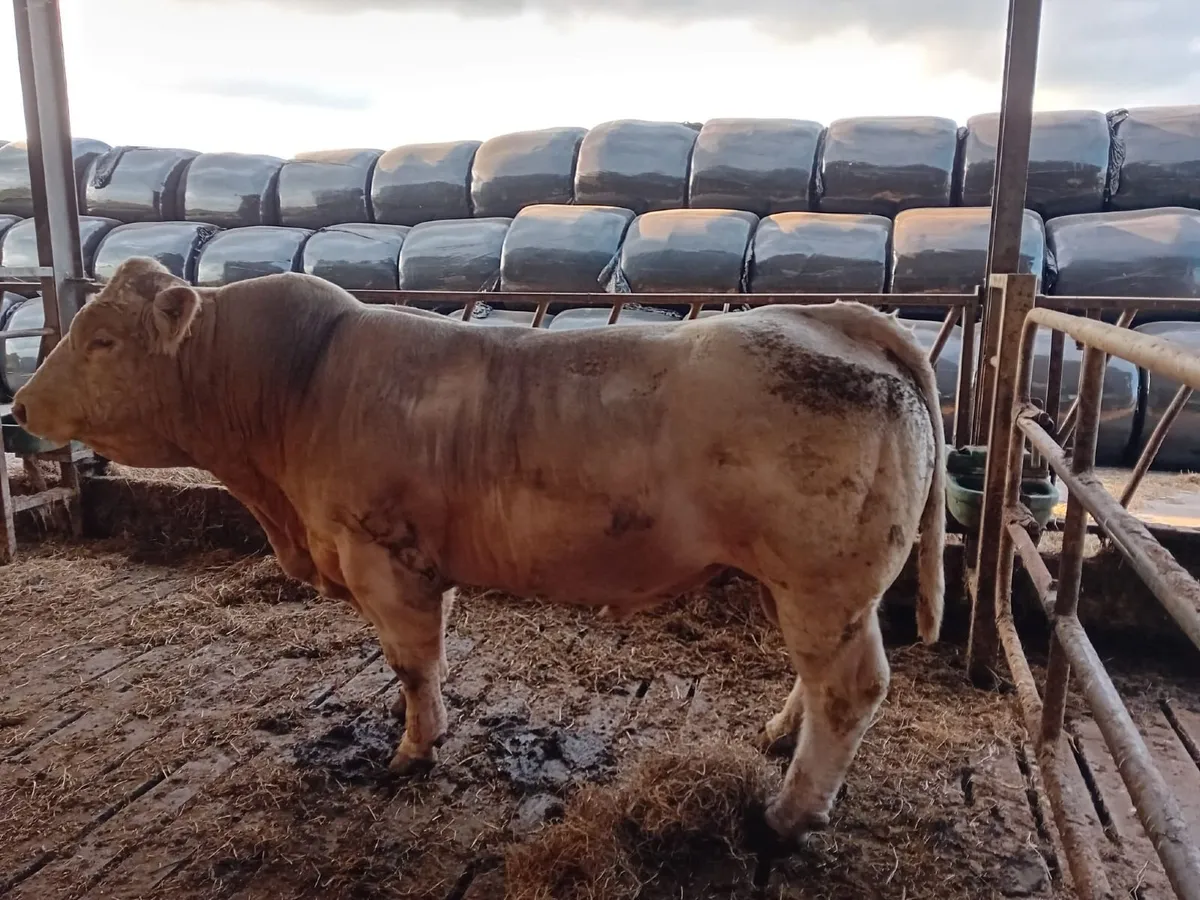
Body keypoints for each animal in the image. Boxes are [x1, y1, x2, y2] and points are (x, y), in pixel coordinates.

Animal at [12, 257, 945, 843]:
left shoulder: (382, 556)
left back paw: (789, 814)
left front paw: (412, 749)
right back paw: (780, 739)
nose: (17, 405)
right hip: (814, 587)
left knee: (850, 688)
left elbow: (412, 660)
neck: (298, 385)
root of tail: (836, 318)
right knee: (817, 680)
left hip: (823, 580)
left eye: (102, 340)